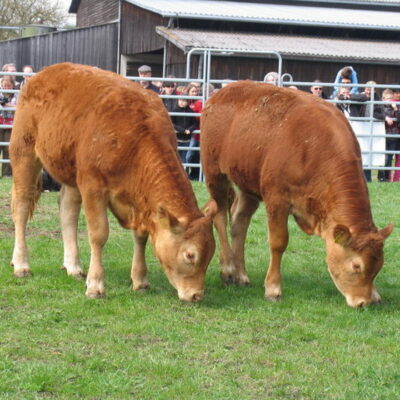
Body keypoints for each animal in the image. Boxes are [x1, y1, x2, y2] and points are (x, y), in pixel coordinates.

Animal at [8, 61, 216, 300]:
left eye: (211, 253)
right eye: (190, 255)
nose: (196, 295)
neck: (136, 139)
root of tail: (44, 73)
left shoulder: (139, 201)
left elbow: (141, 236)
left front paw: (140, 279)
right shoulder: (92, 186)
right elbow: (99, 234)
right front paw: (95, 284)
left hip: (72, 172)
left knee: (67, 210)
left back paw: (73, 266)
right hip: (24, 152)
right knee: (22, 206)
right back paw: (21, 264)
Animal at [202, 80, 392, 306]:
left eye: (379, 266)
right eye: (356, 266)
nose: (364, 302)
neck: (313, 148)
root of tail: (221, 93)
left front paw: (376, 294)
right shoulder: (276, 199)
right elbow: (278, 242)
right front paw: (273, 288)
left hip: (248, 181)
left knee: (239, 220)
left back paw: (241, 274)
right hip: (215, 173)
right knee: (220, 215)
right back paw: (228, 270)